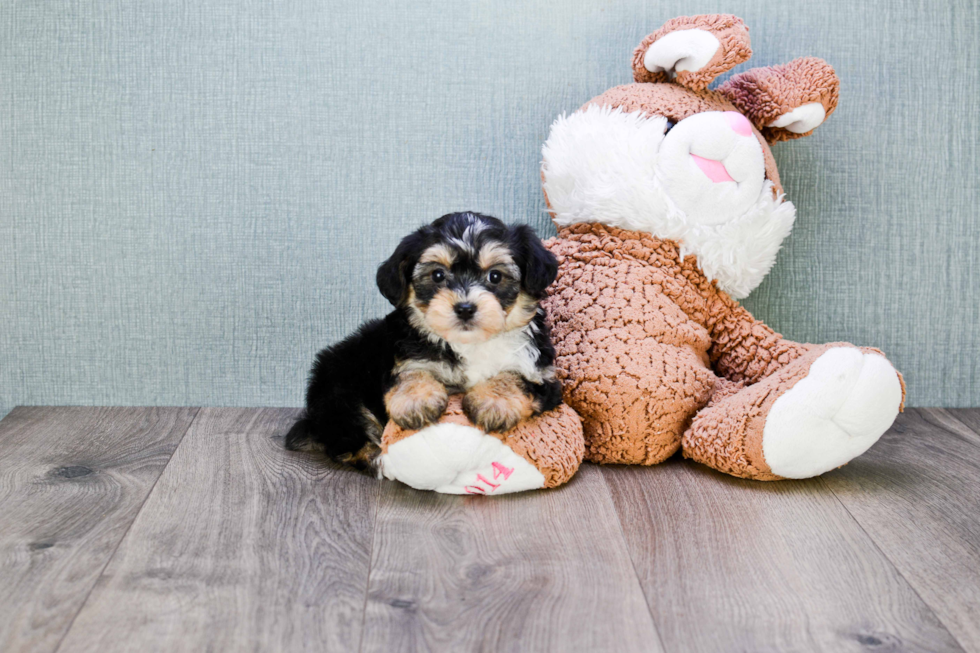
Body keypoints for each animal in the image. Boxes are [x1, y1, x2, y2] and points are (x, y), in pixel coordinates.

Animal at [286, 211, 560, 472]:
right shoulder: (406, 355)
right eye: (437, 275)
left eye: (495, 276)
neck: (469, 343)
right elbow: (413, 371)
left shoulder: (543, 373)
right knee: (347, 435)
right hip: (339, 390)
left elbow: (515, 376)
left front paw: (494, 402)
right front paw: (416, 401)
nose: (465, 308)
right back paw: (374, 457)